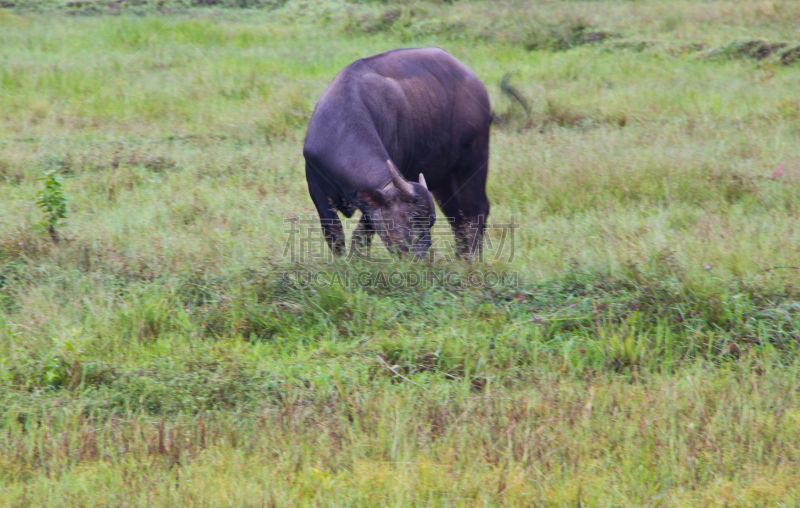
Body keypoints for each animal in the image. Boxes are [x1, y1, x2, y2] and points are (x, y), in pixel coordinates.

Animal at [304, 47, 490, 260]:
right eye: (415, 216)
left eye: (430, 221)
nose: (421, 258)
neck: (340, 127)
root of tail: (477, 86)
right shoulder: (315, 183)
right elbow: (333, 232)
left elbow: (361, 234)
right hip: (443, 178)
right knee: (457, 215)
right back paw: (461, 257)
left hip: (474, 159)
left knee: (477, 208)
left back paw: (471, 258)